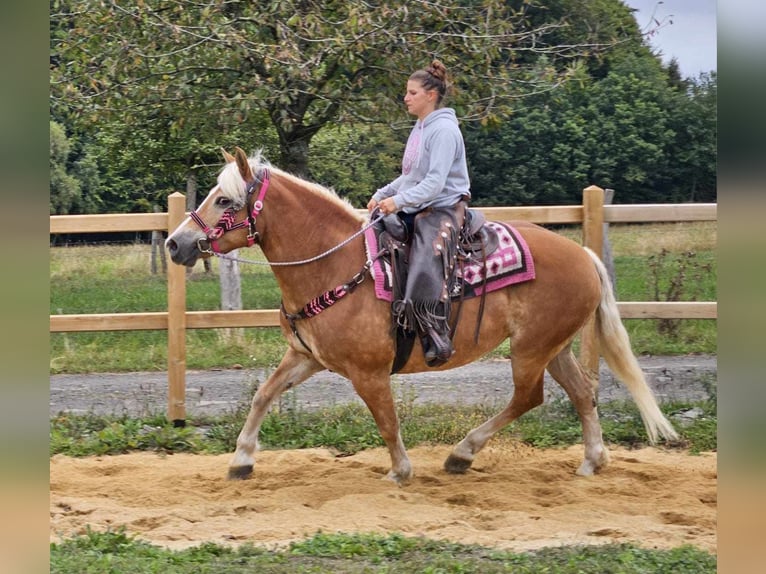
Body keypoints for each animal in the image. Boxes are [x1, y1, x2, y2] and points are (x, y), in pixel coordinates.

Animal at [166, 147, 680, 486]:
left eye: (226, 200)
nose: (175, 243)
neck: (336, 263)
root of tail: (584, 255)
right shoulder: (305, 356)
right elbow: (262, 396)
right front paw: (241, 460)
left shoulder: (369, 372)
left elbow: (386, 419)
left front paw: (400, 470)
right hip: (554, 346)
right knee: (582, 393)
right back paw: (591, 461)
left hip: (531, 349)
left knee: (528, 398)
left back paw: (462, 454)